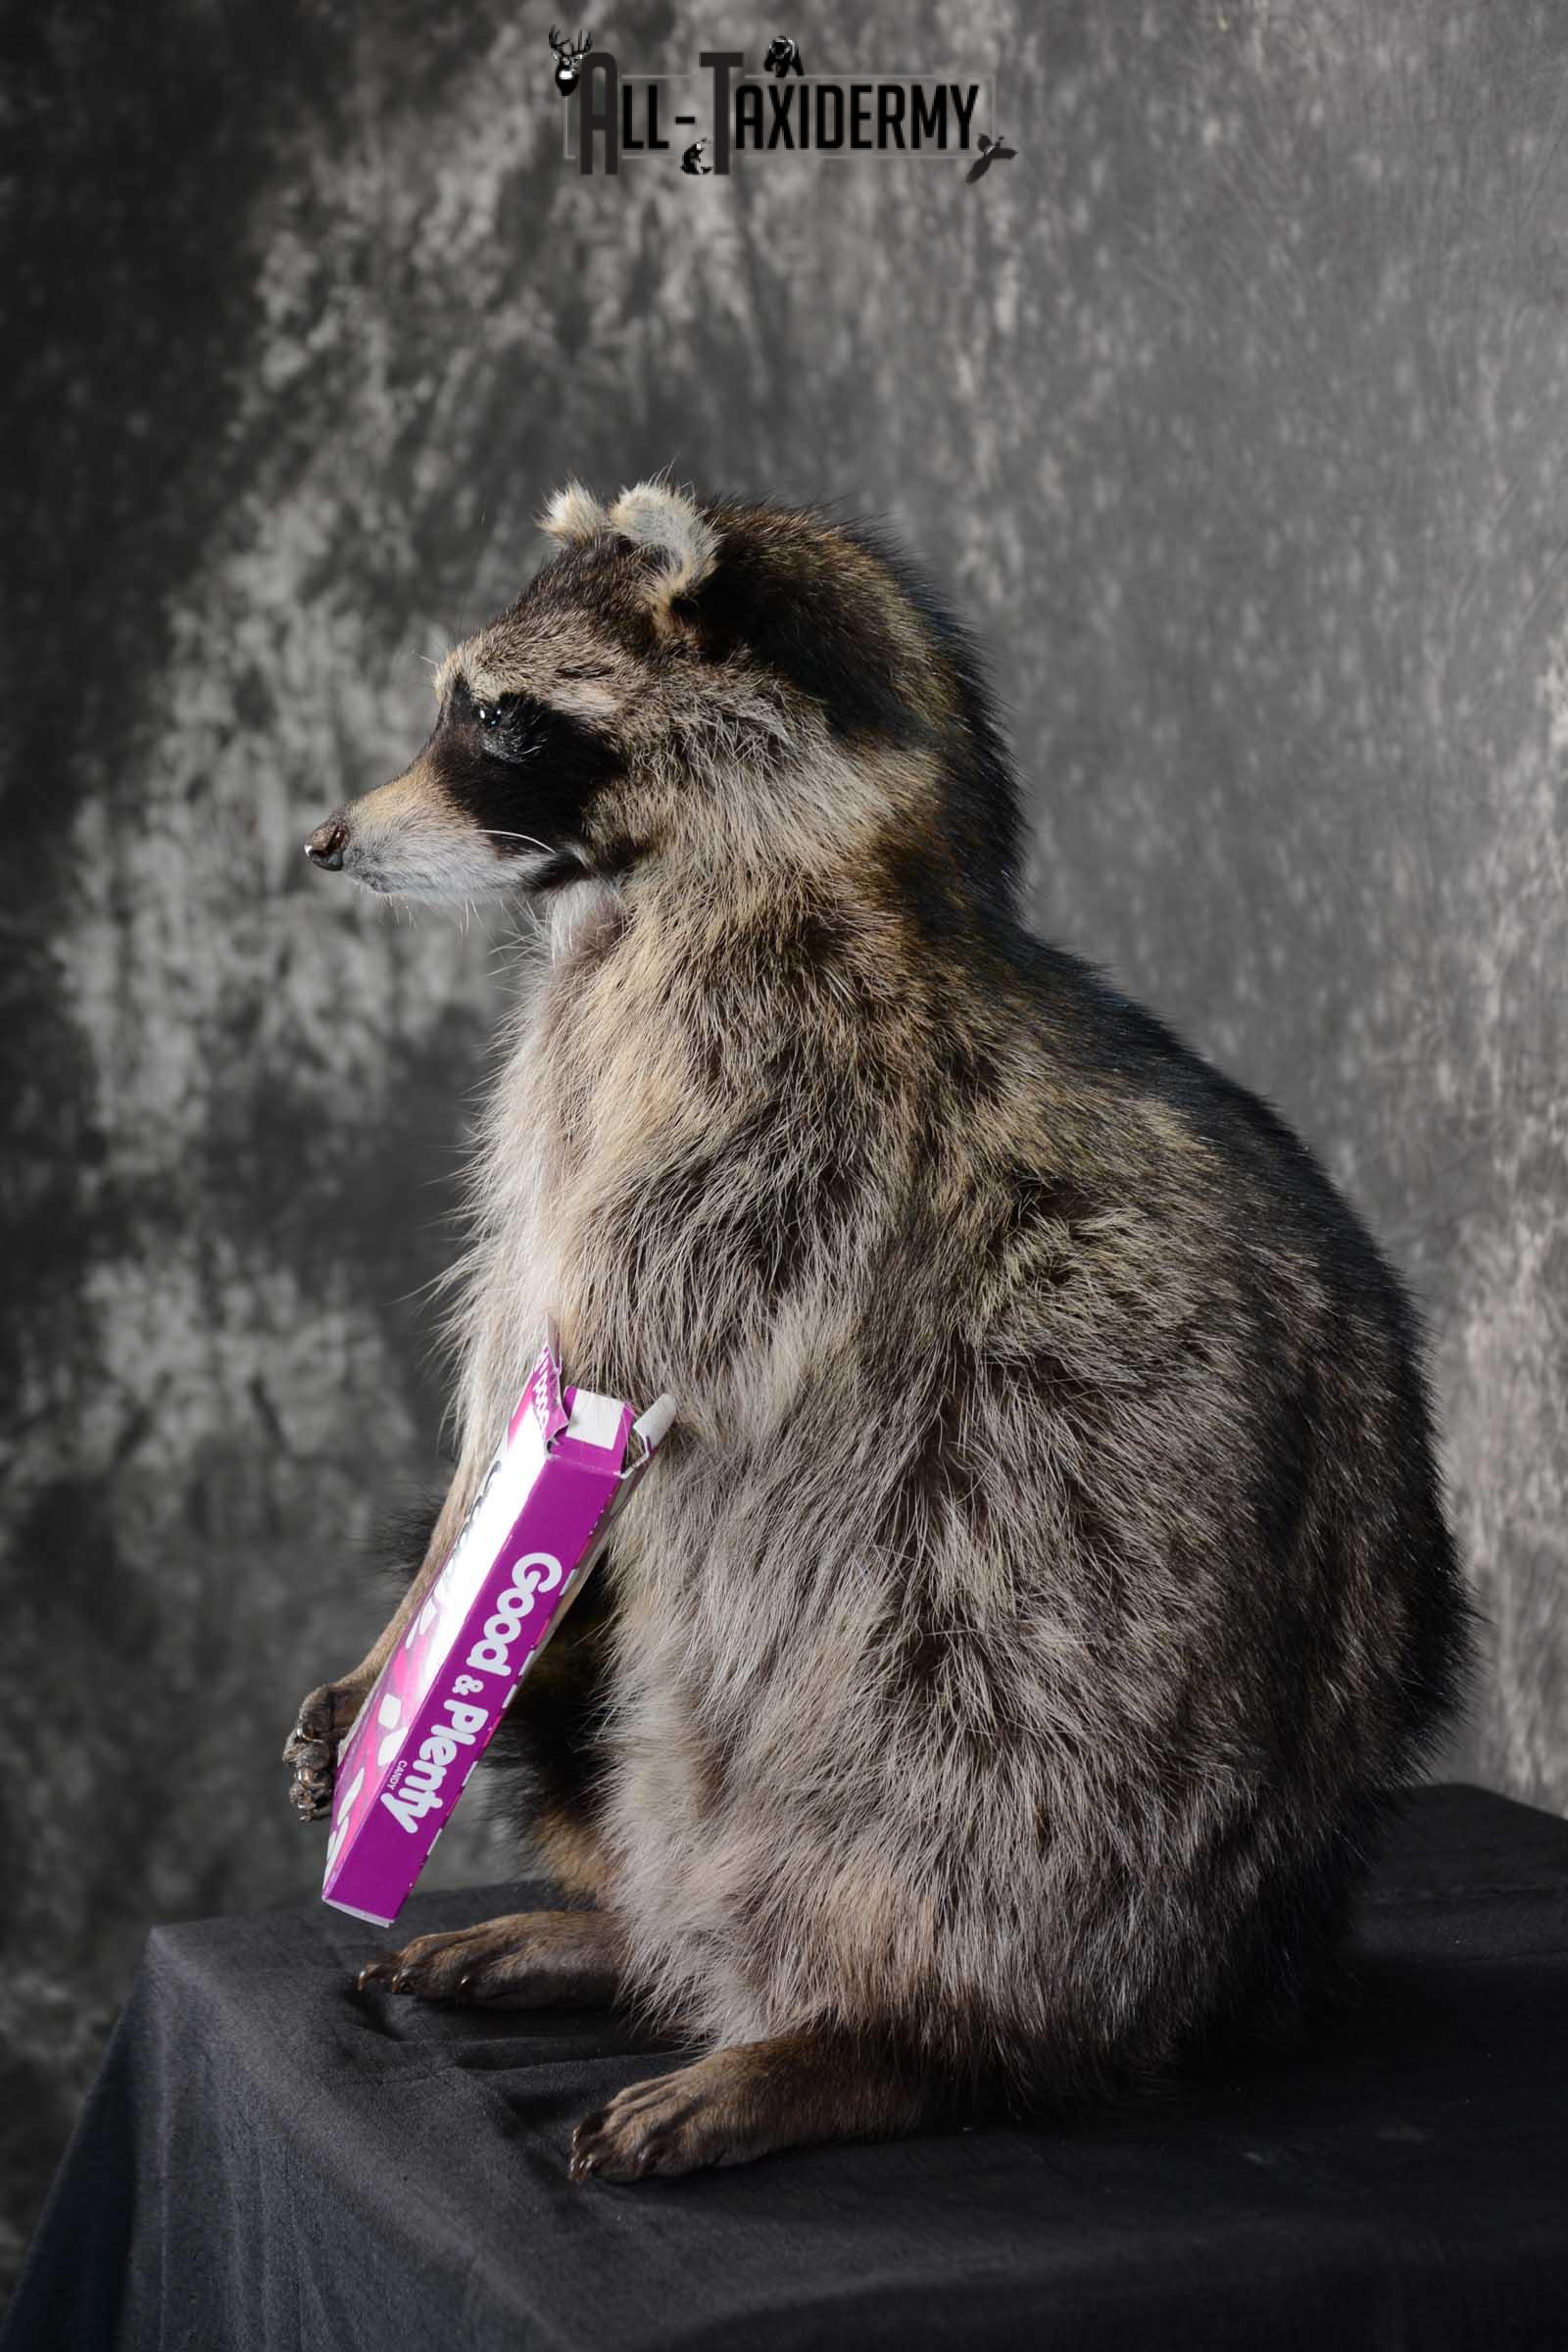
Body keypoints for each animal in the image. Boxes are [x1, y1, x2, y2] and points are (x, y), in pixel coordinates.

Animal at [284, 481, 1471, 2181]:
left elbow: (622, 1348)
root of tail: (1250, 1960)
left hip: (1067, 1656)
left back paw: (867, 2035)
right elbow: (521, 1343)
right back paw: (624, 1934)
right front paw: (409, 1631)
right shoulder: (566, 1095)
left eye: (500, 719)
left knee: (957, 1797)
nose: (324, 842)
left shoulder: (786, 1081)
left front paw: (450, 1599)